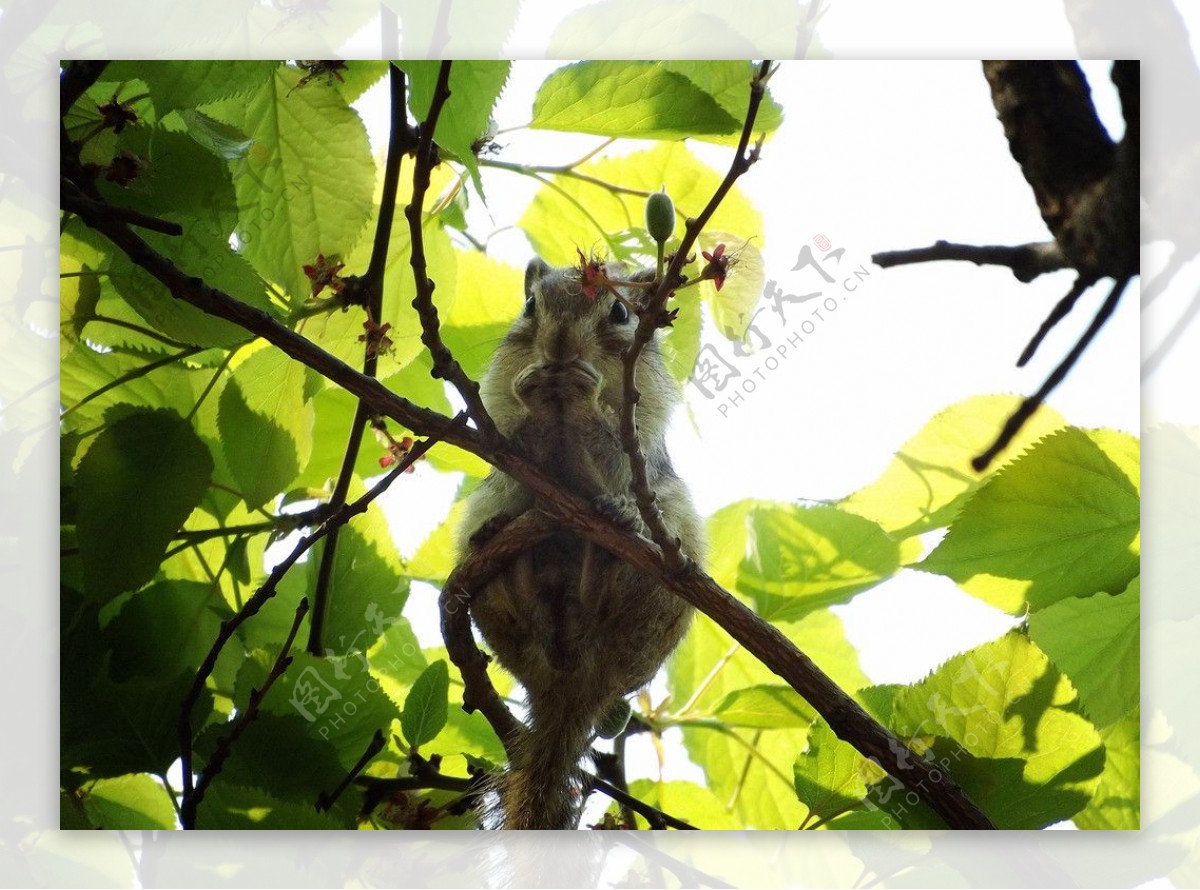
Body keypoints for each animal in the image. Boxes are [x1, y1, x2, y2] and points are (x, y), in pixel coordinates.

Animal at [456, 256, 700, 830]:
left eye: (620, 311)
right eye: (530, 305)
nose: (561, 344)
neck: (560, 412)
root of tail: (569, 686)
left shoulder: (639, 444)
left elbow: (612, 461)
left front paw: (585, 399)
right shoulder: (501, 437)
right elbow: (515, 453)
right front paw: (533, 389)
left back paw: (611, 552)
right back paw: (506, 556)